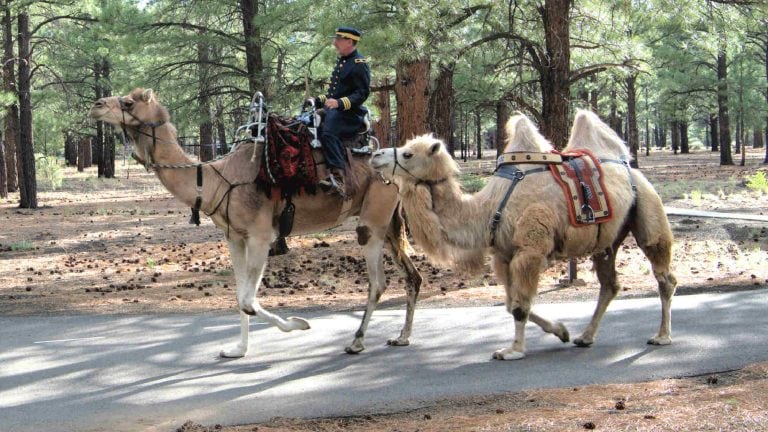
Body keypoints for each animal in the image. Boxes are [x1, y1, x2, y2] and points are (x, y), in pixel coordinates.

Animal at [90, 88, 422, 358]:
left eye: (129, 101)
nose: (96, 105)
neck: (217, 179)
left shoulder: (261, 235)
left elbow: (249, 299)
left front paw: (299, 324)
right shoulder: (234, 236)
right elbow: (239, 297)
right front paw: (237, 350)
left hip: (372, 221)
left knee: (378, 282)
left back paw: (356, 341)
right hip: (388, 224)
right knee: (412, 276)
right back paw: (402, 337)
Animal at [370, 110, 677, 360]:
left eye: (408, 153)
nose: (375, 155)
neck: (488, 209)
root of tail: (631, 167)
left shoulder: (530, 250)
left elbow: (519, 306)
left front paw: (513, 351)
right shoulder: (503, 255)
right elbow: (511, 304)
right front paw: (561, 331)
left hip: (647, 207)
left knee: (664, 272)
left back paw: (662, 336)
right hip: (608, 240)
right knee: (609, 284)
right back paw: (585, 337)